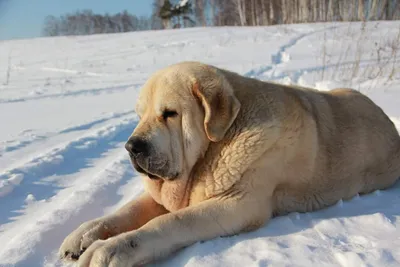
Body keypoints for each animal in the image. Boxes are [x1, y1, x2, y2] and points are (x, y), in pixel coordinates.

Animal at [59, 61, 400, 267]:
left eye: (169, 114)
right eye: (139, 115)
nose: (132, 146)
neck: (215, 147)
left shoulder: (238, 204)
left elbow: (170, 221)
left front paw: (110, 249)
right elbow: (125, 211)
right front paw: (84, 236)